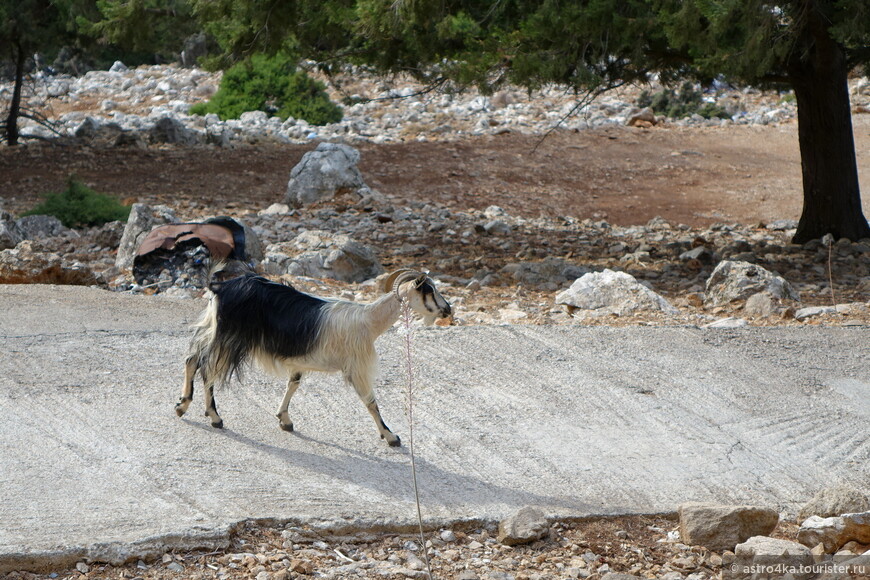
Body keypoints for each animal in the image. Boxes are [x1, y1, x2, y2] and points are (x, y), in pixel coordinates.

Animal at [174, 266, 454, 446]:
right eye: (429, 290)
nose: (448, 309)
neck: (369, 321)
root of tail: (219, 288)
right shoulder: (357, 367)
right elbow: (371, 402)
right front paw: (391, 437)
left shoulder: (300, 363)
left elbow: (293, 384)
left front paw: (284, 420)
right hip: (228, 337)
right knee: (207, 368)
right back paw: (212, 416)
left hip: (212, 329)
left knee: (192, 359)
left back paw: (185, 406)